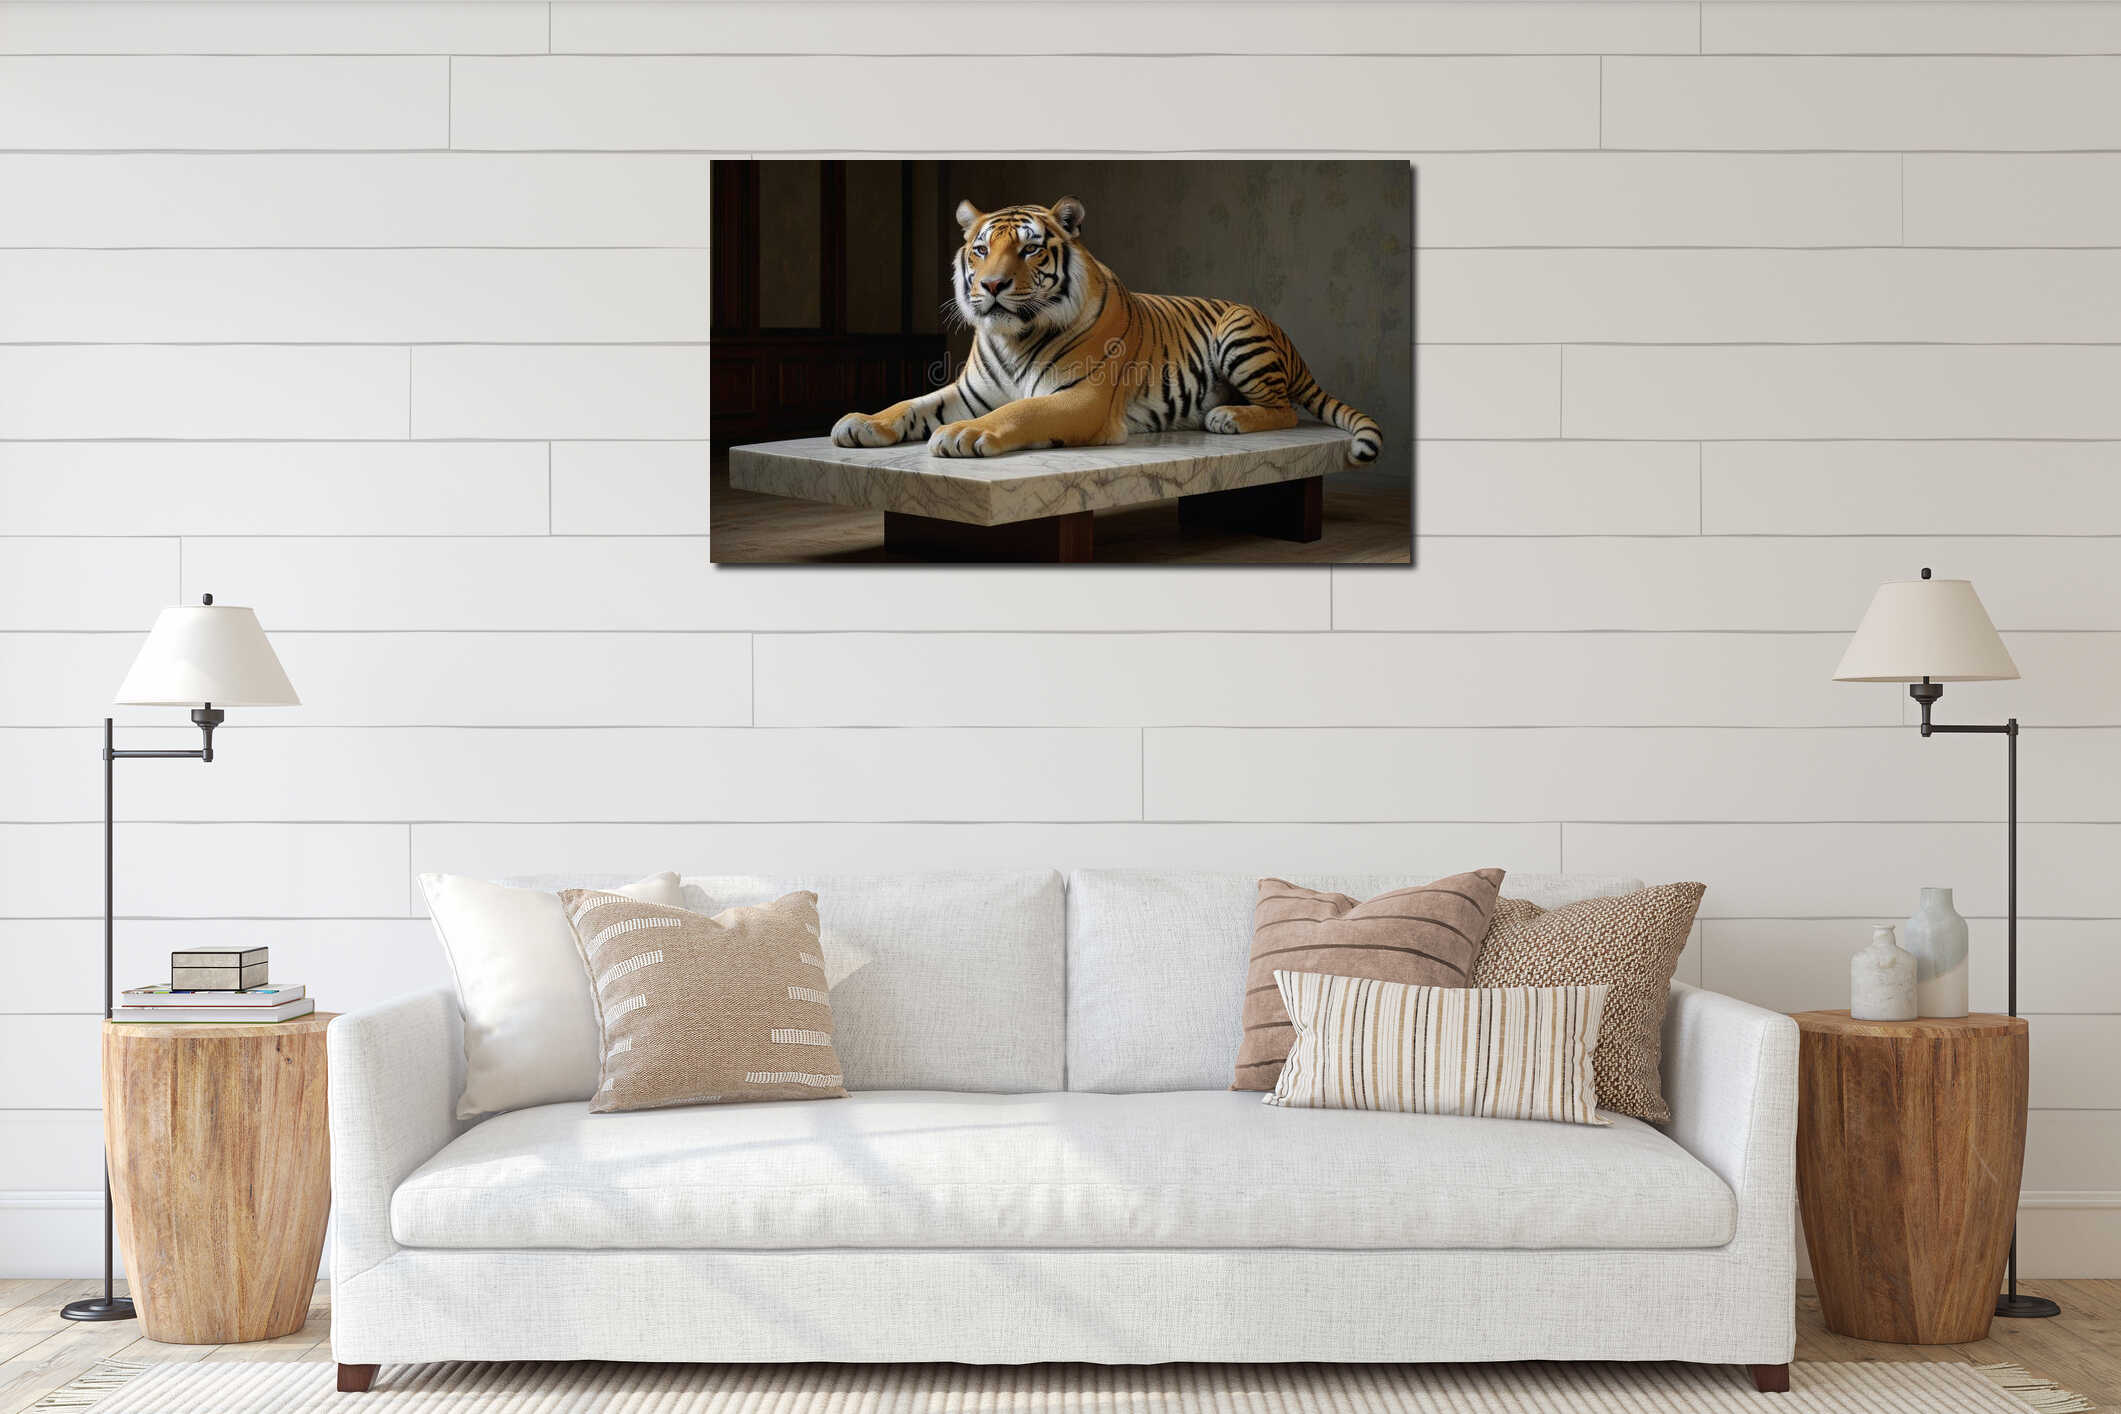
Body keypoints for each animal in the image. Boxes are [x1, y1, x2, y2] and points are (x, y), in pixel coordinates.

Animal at [830, 196, 1382, 466]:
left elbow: (1020, 410)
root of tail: (1284, 334)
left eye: (1030, 249)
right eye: (981, 249)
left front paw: (964, 433)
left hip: (1239, 330)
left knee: (1284, 409)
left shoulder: (1083, 397)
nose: (991, 285)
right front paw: (860, 423)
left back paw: (1228, 417)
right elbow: (911, 404)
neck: (1012, 337)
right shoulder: (970, 390)